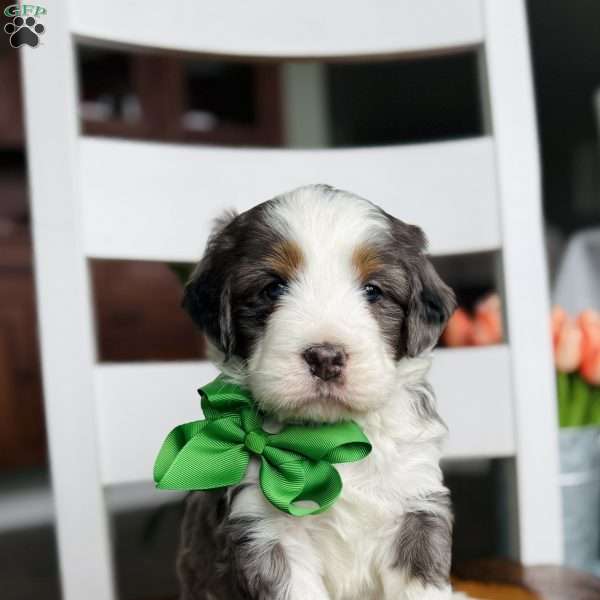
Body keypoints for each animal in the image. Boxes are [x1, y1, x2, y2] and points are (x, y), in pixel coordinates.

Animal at [177, 184, 460, 600]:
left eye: (372, 291)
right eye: (273, 288)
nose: (325, 357)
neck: (332, 438)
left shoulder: (415, 507)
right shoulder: (266, 529)